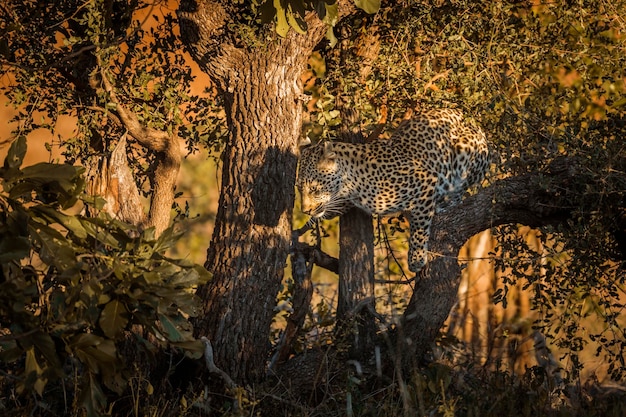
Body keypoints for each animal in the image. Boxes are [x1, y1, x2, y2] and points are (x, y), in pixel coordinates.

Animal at [294, 107, 490, 272]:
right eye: (299, 188)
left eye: (314, 189)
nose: (305, 210)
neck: (352, 183)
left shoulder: (425, 180)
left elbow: (419, 228)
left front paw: (416, 259)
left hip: (466, 153)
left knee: (459, 189)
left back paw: (445, 205)